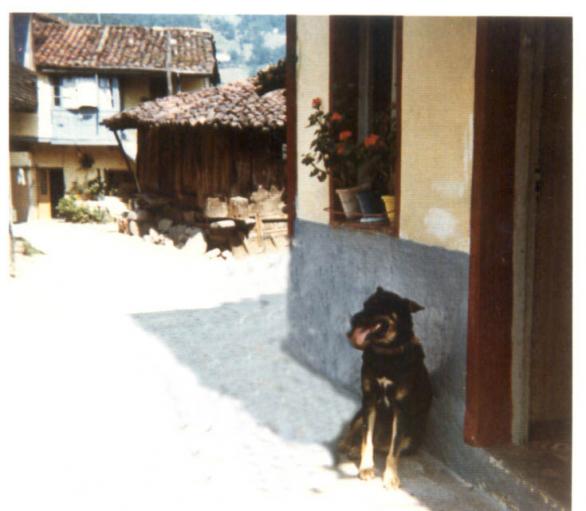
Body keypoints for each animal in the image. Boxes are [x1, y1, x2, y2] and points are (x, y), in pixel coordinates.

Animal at [337, 287, 432, 489]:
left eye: (380, 306)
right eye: (365, 304)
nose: (354, 319)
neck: (387, 353)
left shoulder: (401, 411)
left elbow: (393, 450)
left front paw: (390, 477)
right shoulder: (369, 400)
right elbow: (367, 440)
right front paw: (366, 468)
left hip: (410, 439)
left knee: (386, 446)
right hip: (361, 413)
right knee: (359, 433)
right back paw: (347, 445)